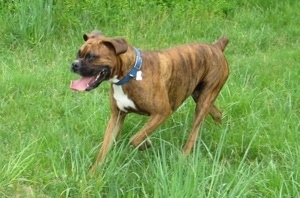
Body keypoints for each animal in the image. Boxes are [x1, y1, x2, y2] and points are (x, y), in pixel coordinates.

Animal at [70, 30, 230, 172]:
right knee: (217, 113)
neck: (130, 73)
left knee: (194, 132)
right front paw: (92, 175)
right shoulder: (116, 117)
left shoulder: (162, 113)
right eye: (78, 54)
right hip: (199, 95)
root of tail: (216, 47)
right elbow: (103, 151)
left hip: (203, 101)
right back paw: (219, 130)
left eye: (92, 57)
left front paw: (145, 143)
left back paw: (183, 156)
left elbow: (136, 138)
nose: (74, 64)